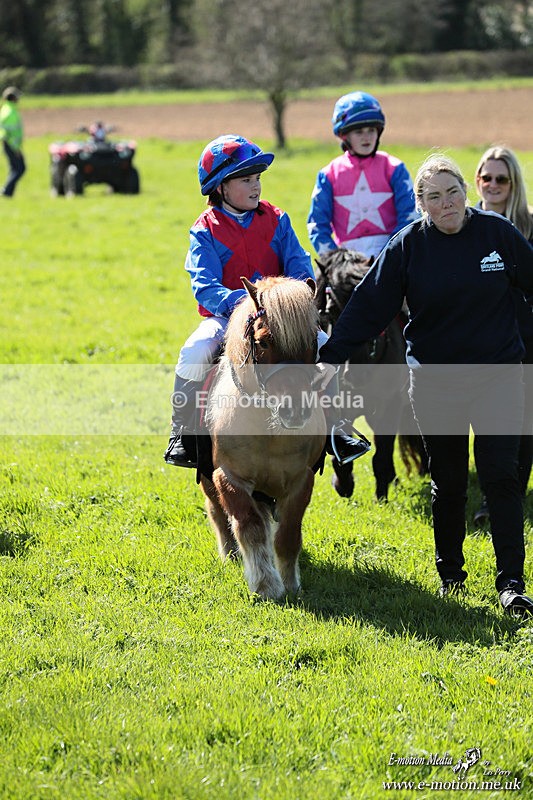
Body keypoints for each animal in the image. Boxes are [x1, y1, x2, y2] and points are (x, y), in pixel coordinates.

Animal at [198, 275, 327, 601]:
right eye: (263, 341)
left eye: (312, 341)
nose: (296, 409)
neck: (269, 431)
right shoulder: (229, 477)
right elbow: (250, 527)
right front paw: (266, 585)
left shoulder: (300, 481)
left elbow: (289, 534)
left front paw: (291, 585)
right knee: (218, 512)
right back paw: (230, 554)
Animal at [315, 247, 428, 501]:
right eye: (331, 311)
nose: (357, 375)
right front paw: (343, 485)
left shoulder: (391, 404)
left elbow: (381, 455)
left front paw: (381, 498)